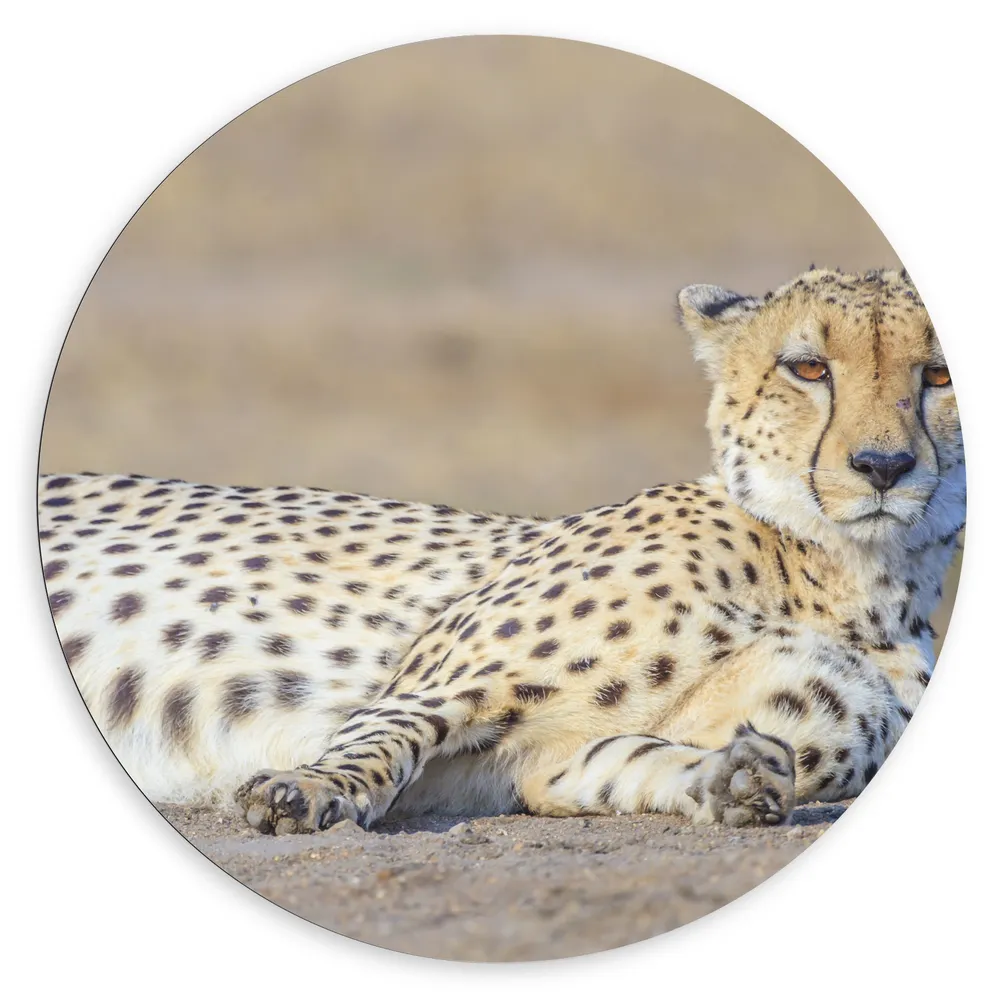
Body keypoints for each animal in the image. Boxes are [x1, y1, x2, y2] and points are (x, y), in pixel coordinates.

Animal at [39, 266, 964, 834]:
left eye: (940, 375)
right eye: (807, 368)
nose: (883, 467)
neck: (845, 578)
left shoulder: (550, 763)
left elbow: (646, 756)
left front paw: (733, 780)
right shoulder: (438, 684)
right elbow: (382, 741)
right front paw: (309, 790)